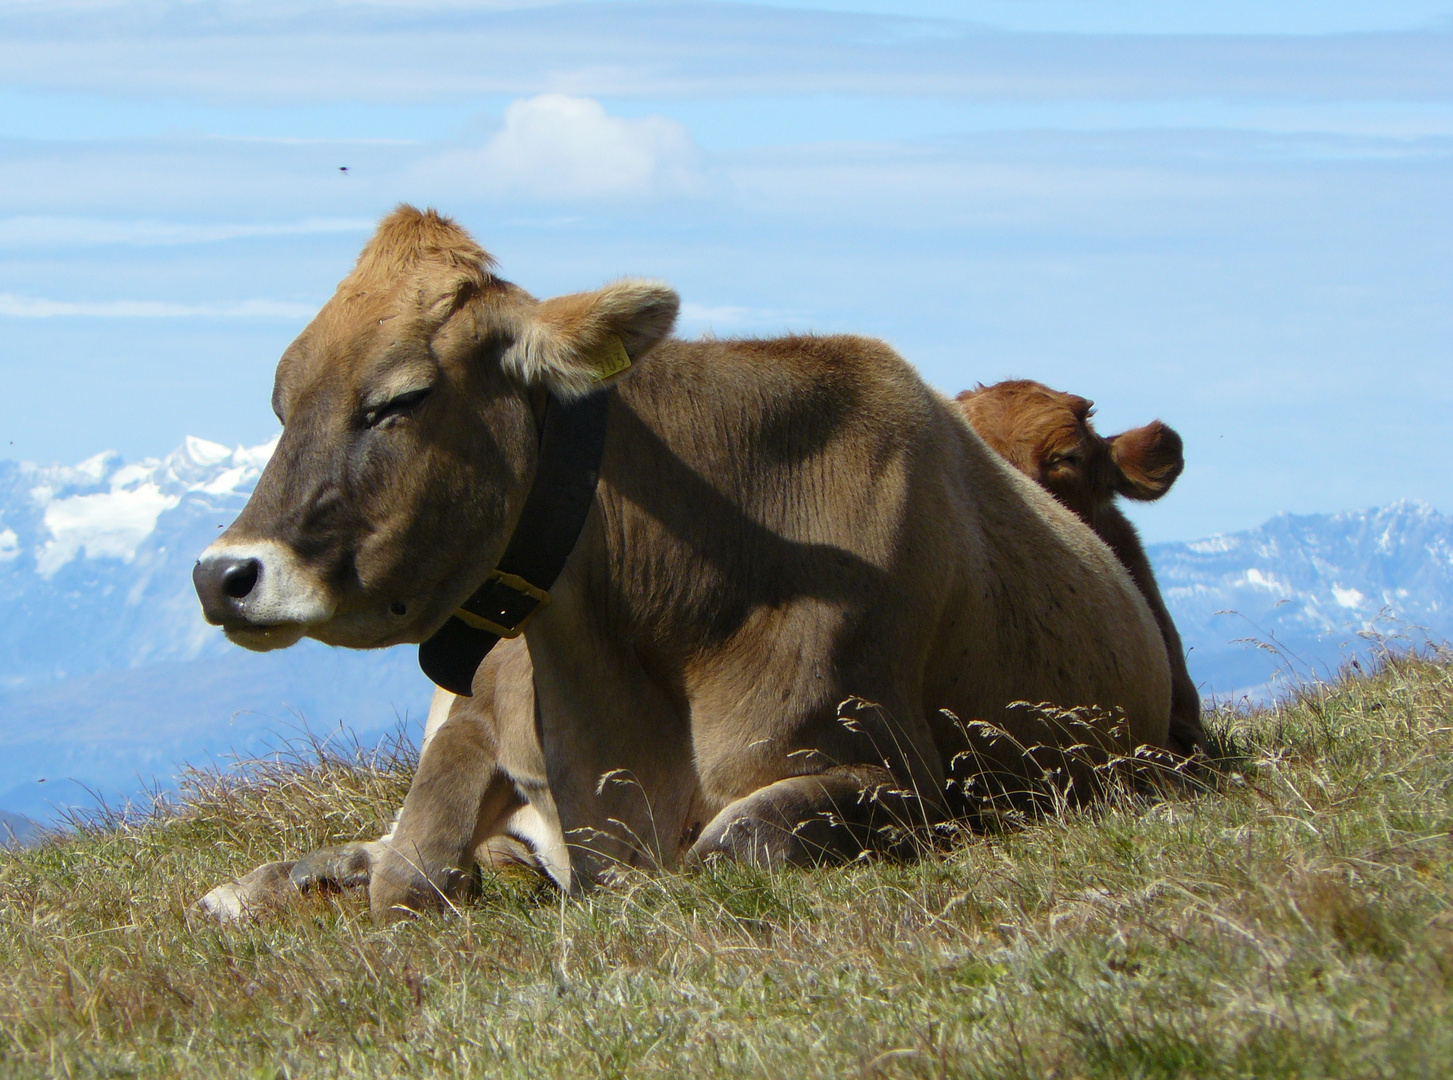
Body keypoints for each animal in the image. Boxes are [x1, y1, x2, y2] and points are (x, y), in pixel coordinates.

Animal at [196, 209, 1168, 918]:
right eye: (282, 402)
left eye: (401, 398)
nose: (222, 576)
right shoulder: (476, 716)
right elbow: (412, 868)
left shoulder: (903, 777)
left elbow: (729, 848)